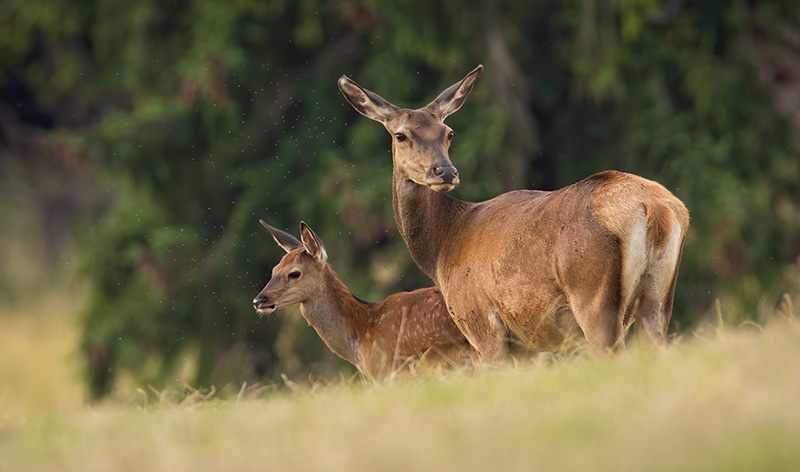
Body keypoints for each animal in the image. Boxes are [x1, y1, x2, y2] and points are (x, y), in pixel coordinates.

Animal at [338, 64, 688, 362]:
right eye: (401, 135)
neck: (442, 249)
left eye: (448, 132)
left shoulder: (481, 324)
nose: (445, 171)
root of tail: (657, 210)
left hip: (593, 297)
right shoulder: (529, 345)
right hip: (659, 297)